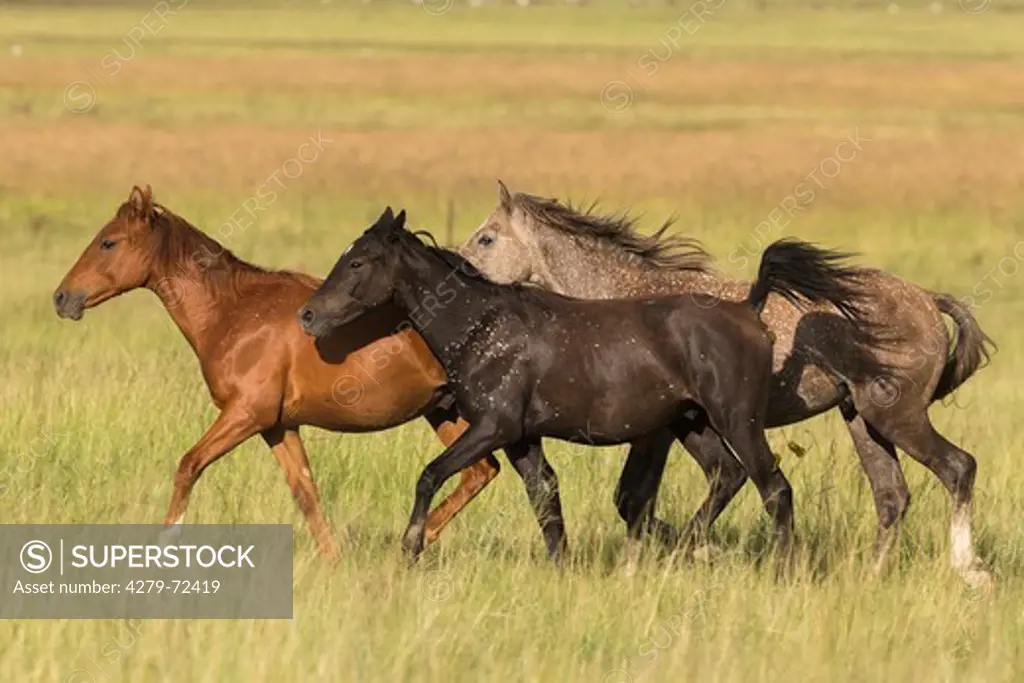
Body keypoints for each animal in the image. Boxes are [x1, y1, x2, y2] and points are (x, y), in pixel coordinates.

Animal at [52, 184, 499, 557]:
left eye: (108, 242)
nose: (61, 297)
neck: (233, 313)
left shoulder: (246, 414)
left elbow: (188, 466)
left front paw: (163, 546)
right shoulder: (278, 427)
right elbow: (306, 493)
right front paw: (333, 562)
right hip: (444, 412)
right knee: (480, 472)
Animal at [296, 208, 872, 561]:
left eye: (359, 260)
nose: (308, 315)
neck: (482, 324)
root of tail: (749, 309)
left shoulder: (491, 428)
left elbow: (430, 474)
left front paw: (411, 546)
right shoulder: (522, 437)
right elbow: (546, 499)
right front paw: (561, 565)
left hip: (736, 420)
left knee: (773, 487)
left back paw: (779, 563)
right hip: (694, 424)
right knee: (727, 478)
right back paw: (685, 545)